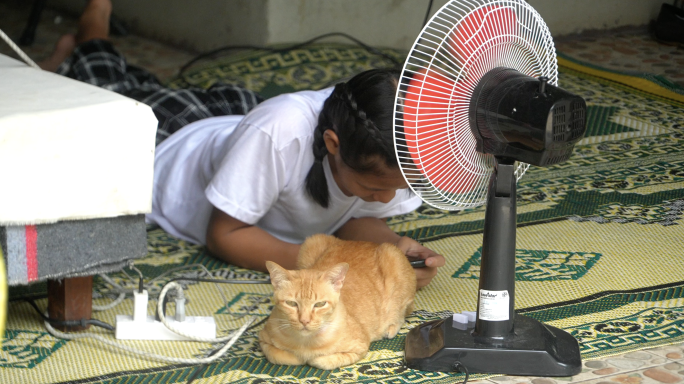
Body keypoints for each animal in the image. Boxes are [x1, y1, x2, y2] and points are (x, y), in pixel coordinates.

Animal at [258, 232, 414, 370]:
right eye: (291, 303)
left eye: (320, 304)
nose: (304, 321)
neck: (305, 342)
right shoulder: (263, 341)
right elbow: (281, 356)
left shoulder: (360, 347)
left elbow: (321, 360)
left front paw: (311, 358)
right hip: (312, 241)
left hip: (394, 256)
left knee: (402, 313)